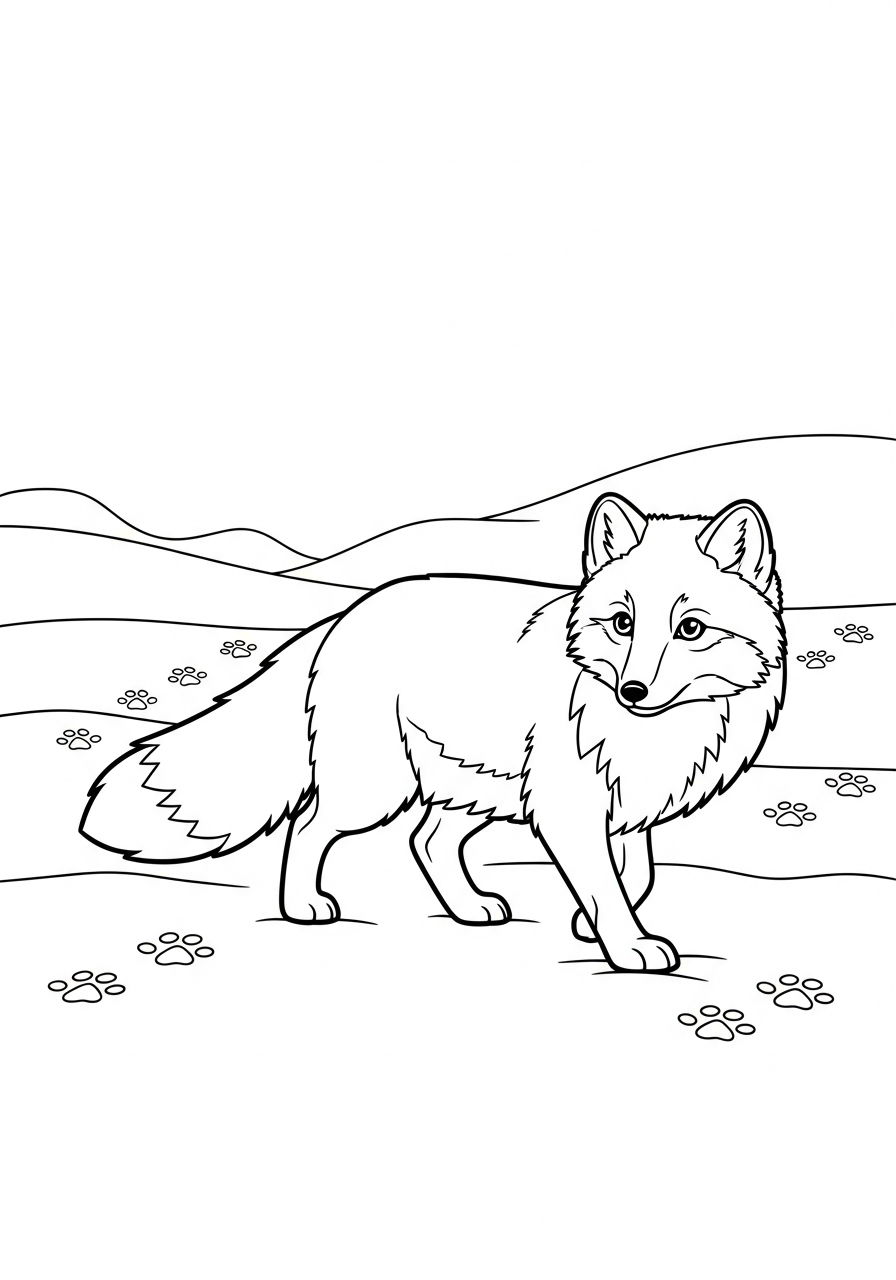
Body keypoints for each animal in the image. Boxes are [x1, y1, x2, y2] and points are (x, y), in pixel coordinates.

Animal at [81, 492, 785, 972]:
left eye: (690, 628)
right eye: (622, 624)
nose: (633, 692)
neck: (653, 734)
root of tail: (343, 615)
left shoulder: (627, 811)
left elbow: (633, 878)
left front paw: (594, 926)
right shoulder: (570, 808)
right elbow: (608, 885)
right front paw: (628, 944)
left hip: (473, 792)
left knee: (426, 842)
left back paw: (472, 909)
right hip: (374, 792)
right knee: (308, 826)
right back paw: (304, 905)